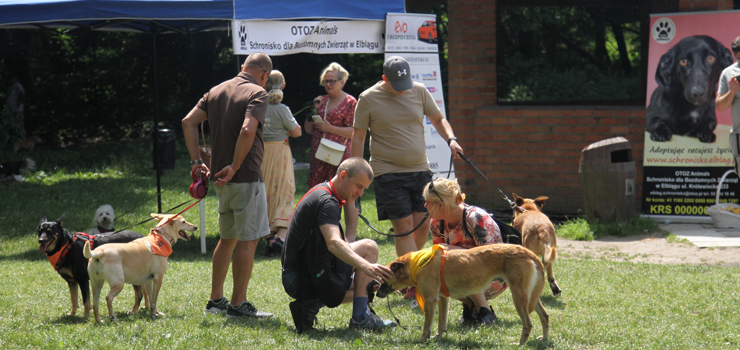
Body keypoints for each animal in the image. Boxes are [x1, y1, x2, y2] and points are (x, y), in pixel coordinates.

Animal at [378, 243, 548, 344]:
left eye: (383, 277)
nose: (377, 294)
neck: (417, 264)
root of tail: (528, 252)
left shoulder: (430, 300)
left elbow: (427, 325)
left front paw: (423, 339)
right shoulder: (442, 299)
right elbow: (441, 322)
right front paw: (438, 337)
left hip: (519, 298)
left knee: (528, 324)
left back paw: (520, 343)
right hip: (530, 297)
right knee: (545, 316)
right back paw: (543, 339)